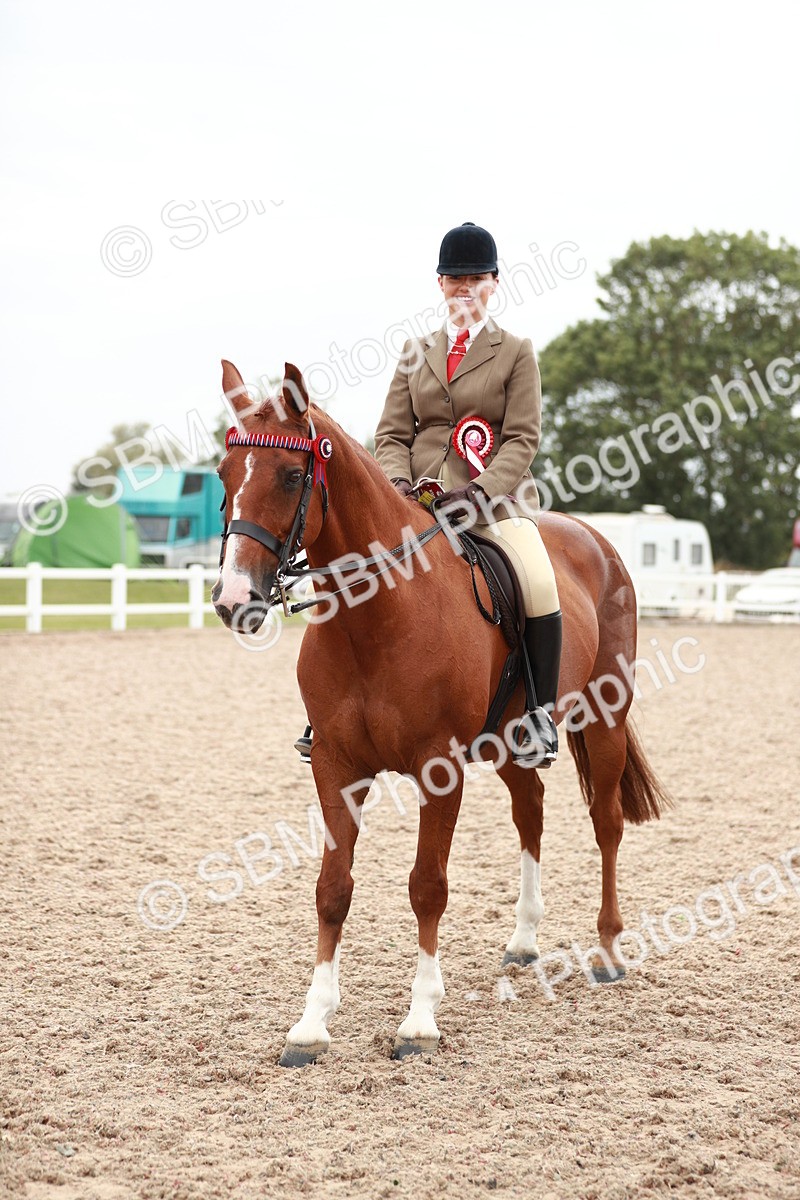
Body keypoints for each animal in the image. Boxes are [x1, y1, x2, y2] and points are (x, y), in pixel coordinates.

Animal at [212, 359, 670, 1067]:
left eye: (291, 476)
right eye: (223, 474)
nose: (235, 600)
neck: (376, 619)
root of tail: (593, 537)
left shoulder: (438, 767)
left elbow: (427, 885)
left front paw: (420, 1020)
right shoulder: (337, 766)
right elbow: (332, 888)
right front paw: (311, 1025)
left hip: (606, 717)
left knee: (607, 823)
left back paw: (609, 951)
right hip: (510, 742)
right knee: (531, 813)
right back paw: (523, 942)